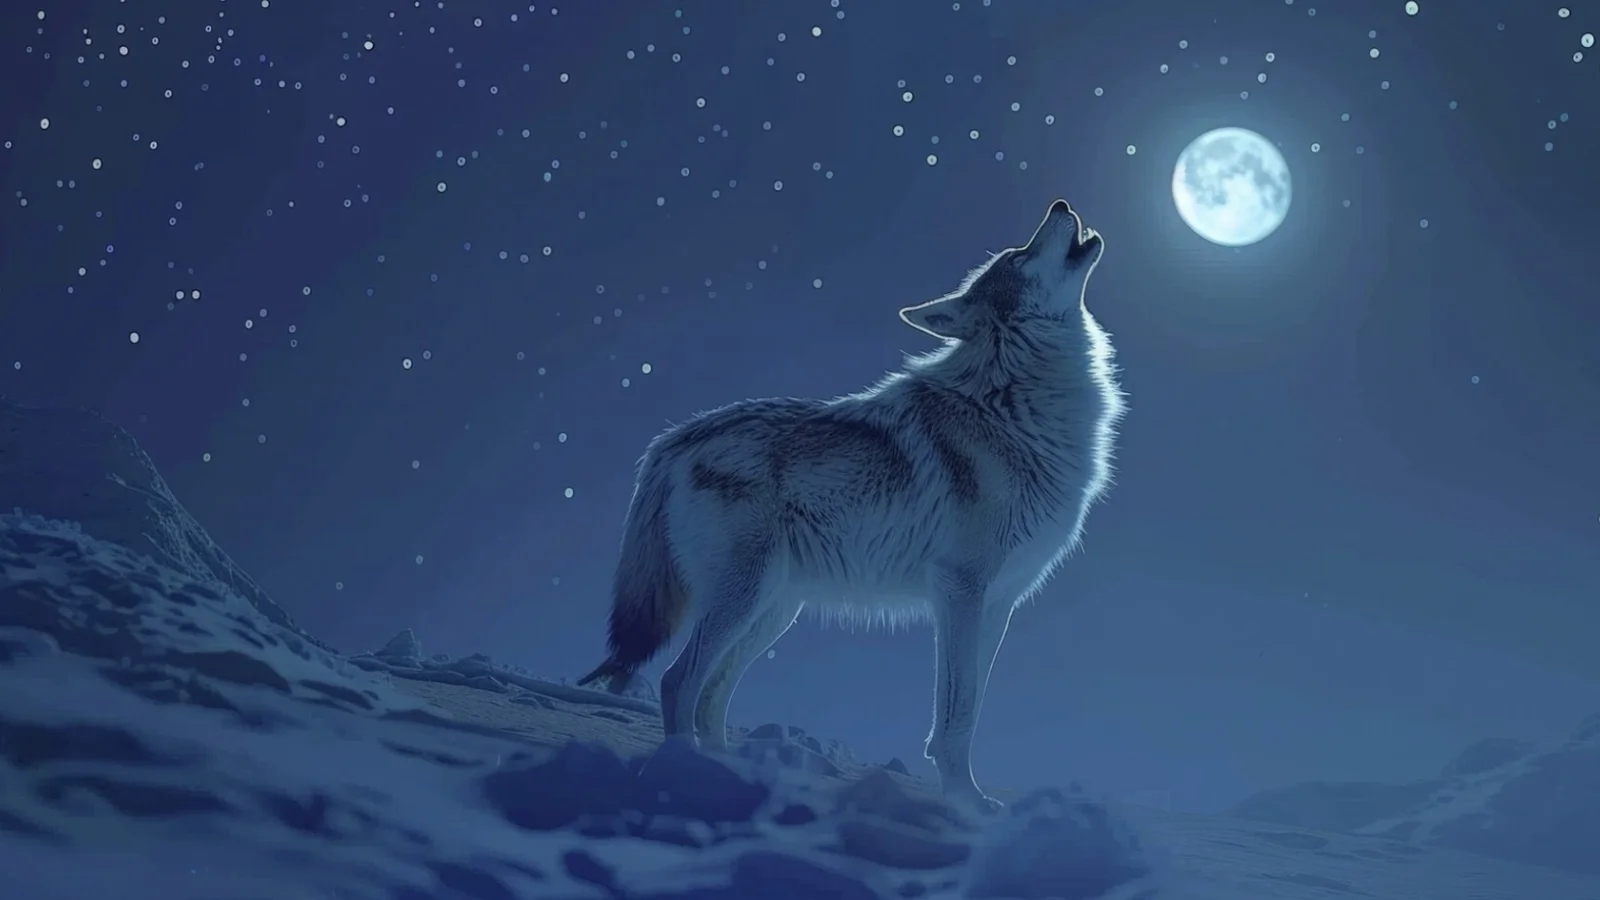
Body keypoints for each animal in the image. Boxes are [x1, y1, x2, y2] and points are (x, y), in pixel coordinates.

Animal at [578, 199, 1125, 808]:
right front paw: (965, 801)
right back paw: (684, 776)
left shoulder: (998, 603)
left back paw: (730, 776)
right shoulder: (959, 591)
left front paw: (968, 796)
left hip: (774, 610)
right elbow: (955, 715)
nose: (1060, 205)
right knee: (679, 681)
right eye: (1018, 256)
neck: (1014, 401)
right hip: (745, 601)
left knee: (711, 694)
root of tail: (671, 440)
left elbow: (970, 708)